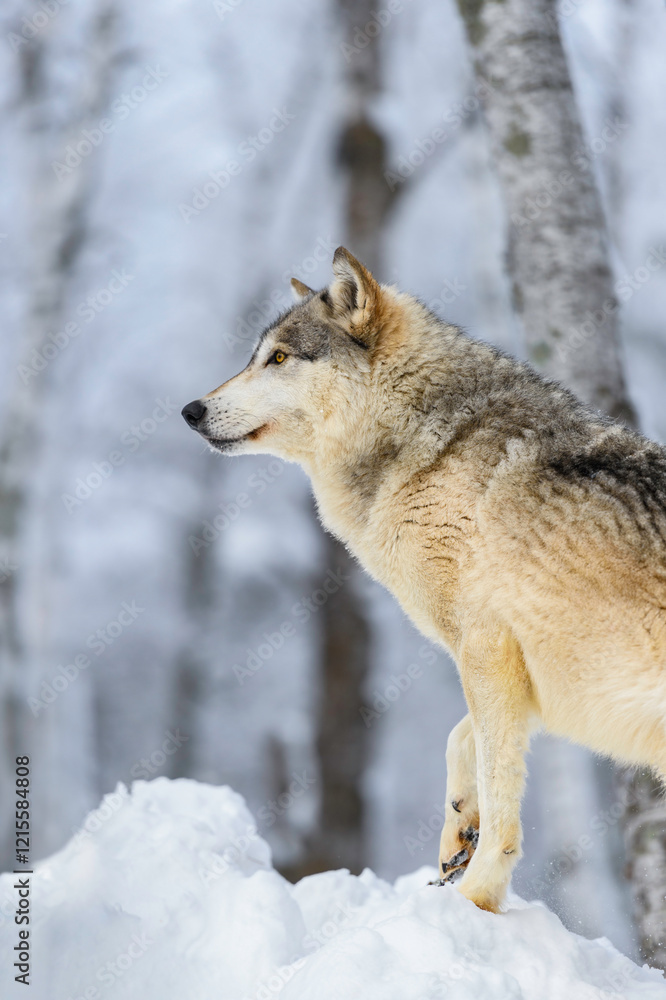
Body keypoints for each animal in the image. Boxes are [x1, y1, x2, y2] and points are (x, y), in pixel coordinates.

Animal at [182, 247, 666, 913]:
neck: (427, 446)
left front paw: (476, 901)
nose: (190, 411)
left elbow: (500, 793)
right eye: (255, 356)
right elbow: (461, 741)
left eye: (278, 358)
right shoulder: (522, 672)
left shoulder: (488, 647)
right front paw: (458, 833)